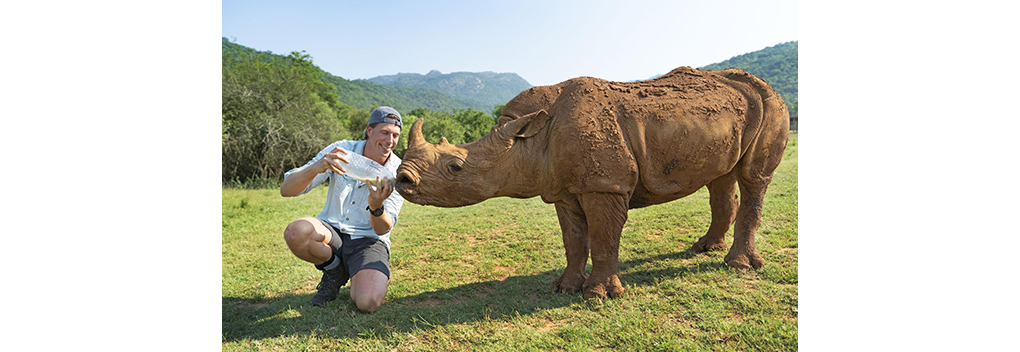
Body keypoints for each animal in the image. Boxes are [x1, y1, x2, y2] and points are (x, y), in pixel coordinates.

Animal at [395, 65, 787, 295]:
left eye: (455, 167)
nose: (402, 179)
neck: (528, 141)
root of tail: (766, 84)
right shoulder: (564, 188)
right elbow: (573, 240)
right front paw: (565, 288)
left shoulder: (604, 185)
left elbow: (601, 237)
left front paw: (598, 295)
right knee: (722, 177)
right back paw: (704, 248)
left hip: (772, 105)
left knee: (753, 177)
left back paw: (736, 265)